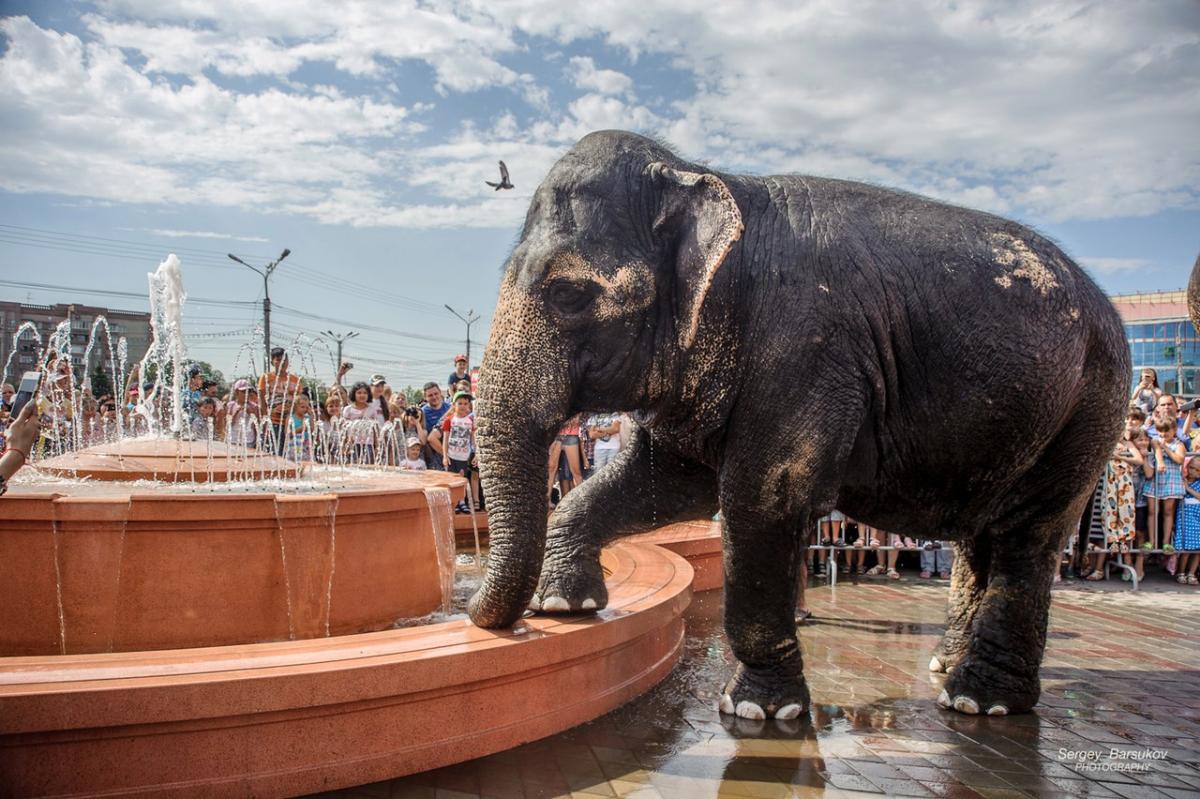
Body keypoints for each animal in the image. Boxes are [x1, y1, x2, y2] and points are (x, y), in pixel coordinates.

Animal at [468, 128, 1132, 715]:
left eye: (570, 295)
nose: (479, 616)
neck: (704, 177)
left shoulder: (806, 349)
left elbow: (758, 497)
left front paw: (758, 711)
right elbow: (669, 483)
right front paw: (565, 607)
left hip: (1088, 409)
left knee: (1029, 535)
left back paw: (980, 701)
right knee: (984, 532)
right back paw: (948, 670)